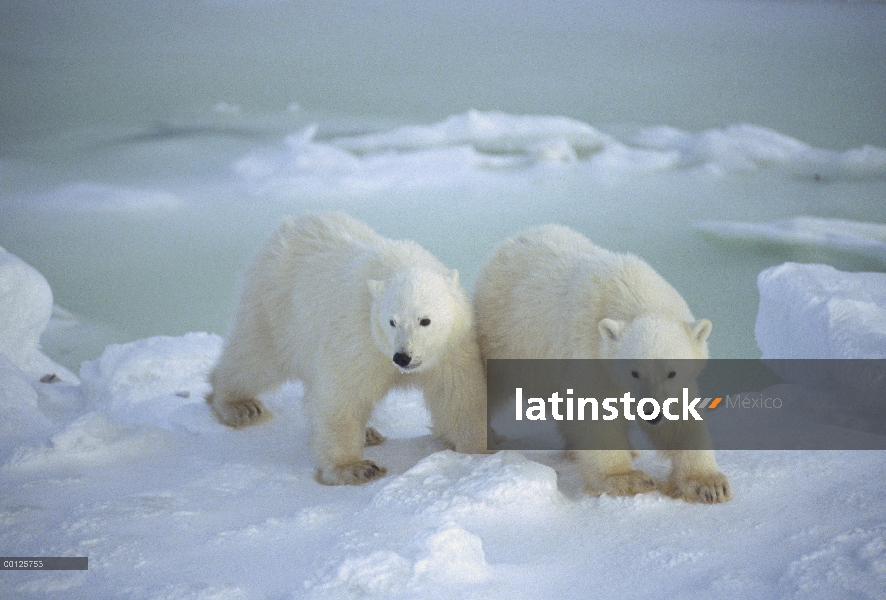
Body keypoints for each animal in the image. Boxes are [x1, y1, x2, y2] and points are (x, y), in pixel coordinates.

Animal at [207, 213, 486, 486]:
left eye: (425, 320)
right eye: (391, 321)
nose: (402, 357)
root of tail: (290, 224)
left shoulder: (452, 347)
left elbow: (458, 393)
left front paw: (477, 448)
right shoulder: (360, 336)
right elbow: (343, 395)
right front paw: (355, 468)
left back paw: (369, 432)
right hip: (275, 309)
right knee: (255, 358)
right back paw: (239, 405)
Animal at [478, 227, 736, 504]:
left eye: (672, 372)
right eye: (634, 372)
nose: (652, 412)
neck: (633, 293)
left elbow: (682, 419)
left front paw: (708, 484)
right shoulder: (590, 353)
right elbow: (593, 412)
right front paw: (627, 478)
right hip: (504, 338)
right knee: (493, 386)